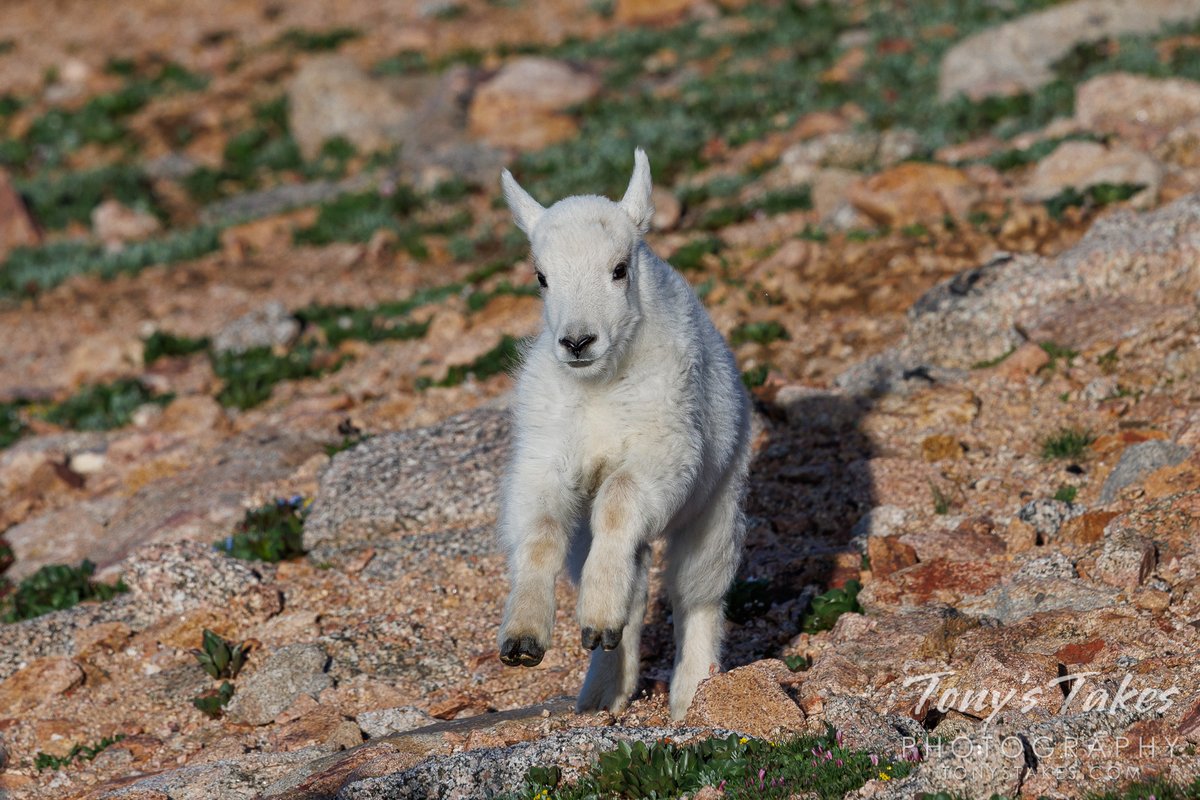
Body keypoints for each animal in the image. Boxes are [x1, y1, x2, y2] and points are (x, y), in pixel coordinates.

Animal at [496, 148, 748, 719]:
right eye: (541, 277)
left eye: (619, 269)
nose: (577, 342)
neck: (600, 387)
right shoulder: (547, 458)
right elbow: (541, 532)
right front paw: (523, 639)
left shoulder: (665, 450)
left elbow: (620, 499)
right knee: (633, 592)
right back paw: (601, 687)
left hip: (717, 504)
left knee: (696, 594)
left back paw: (689, 696)